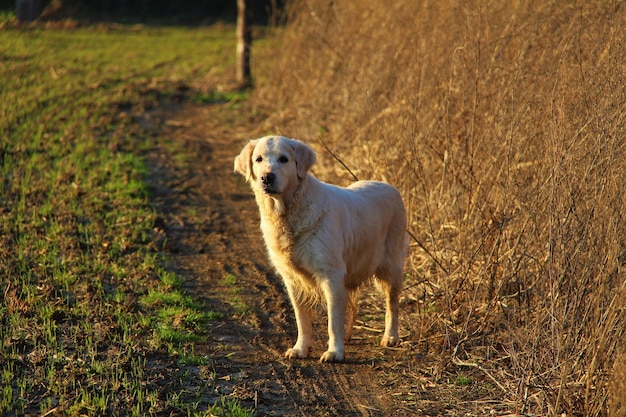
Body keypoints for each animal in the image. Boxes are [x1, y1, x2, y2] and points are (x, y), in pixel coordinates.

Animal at [233, 136, 404, 360]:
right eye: (258, 159)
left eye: (284, 159)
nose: (266, 177)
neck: (288, 213)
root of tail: (389, 186)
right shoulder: (293, 280)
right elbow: (302, 320)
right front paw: (300, 348)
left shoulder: (330, 274)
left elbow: (333, 321)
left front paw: (334, 352)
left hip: (390, 266)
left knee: (392, 303)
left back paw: (390, 337)